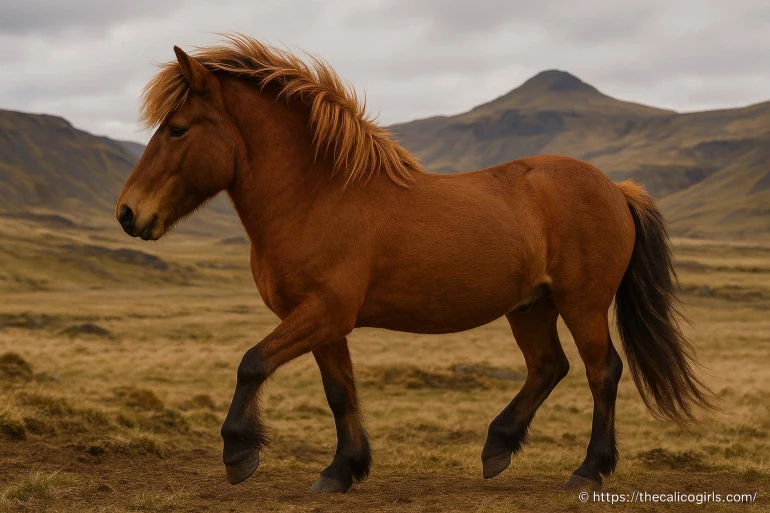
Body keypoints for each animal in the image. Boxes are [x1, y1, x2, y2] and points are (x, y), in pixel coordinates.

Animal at [116, 35, 711, 493]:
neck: (317, 197)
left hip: (581, 303)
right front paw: (343, 470)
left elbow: (252, 362)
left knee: (601, 371)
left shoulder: (322, 313)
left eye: (178, 128)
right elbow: (340, 392)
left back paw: (588, 470)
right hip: (530, 306)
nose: (127, 213)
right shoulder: (324, 322)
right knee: (548, 367)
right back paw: (497, 447)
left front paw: (239, 453)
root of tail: (615, 188)